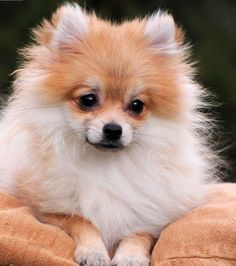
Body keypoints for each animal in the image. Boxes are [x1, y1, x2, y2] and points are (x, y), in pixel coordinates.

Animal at [0, 2, 220, 266]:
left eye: (137, 105)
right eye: (88, 100)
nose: (113, 130)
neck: (106, 165)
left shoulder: (151, 215)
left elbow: (138, 232)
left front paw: (130, 256)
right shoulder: (47, 209)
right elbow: (83, 221)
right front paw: (93, 252)